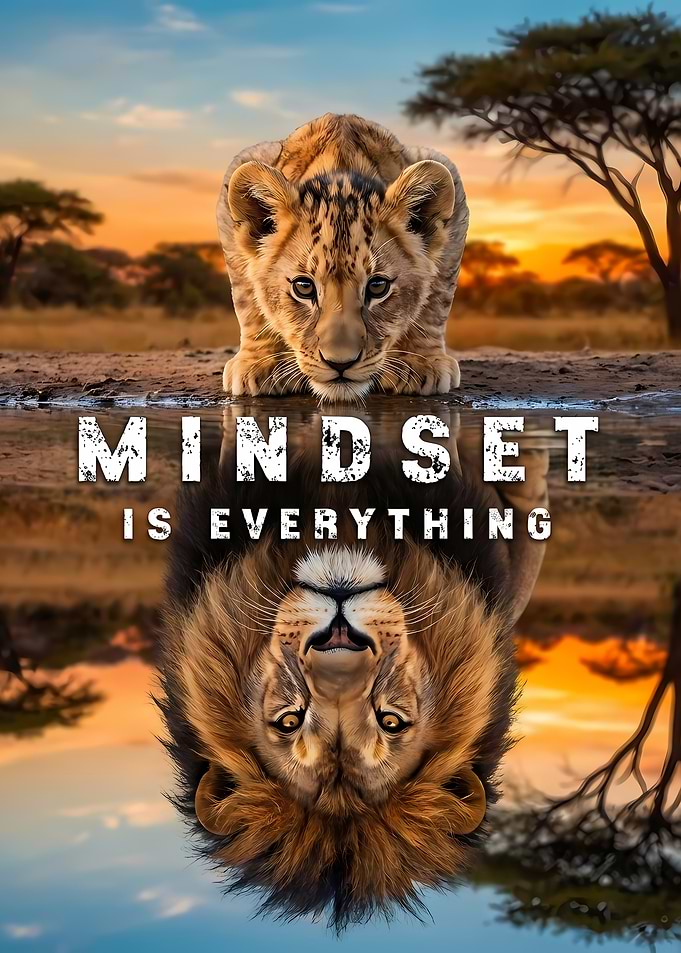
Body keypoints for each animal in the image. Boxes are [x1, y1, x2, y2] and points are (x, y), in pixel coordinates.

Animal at [217, 113, 468, 400]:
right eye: (303, 287)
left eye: (378, 286)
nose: (340, 363)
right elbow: (247, 302)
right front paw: (259, 364)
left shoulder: (452, 185)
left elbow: (436, 301)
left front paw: (420, 363)